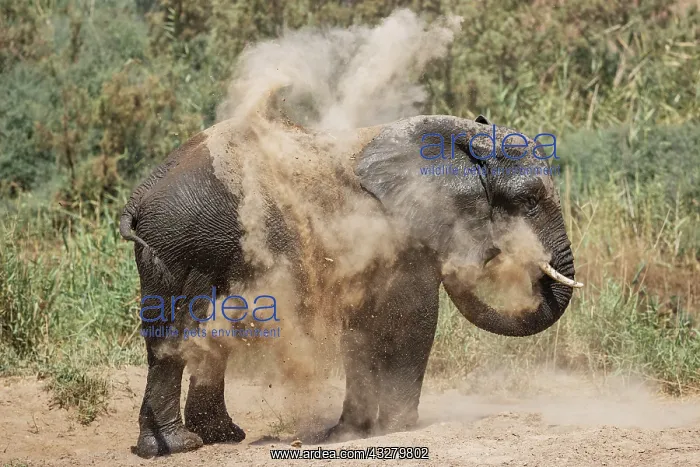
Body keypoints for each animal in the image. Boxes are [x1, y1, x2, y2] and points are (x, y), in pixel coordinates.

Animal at [119, 113, 582, 458]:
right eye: (528, 202)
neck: (462, 139)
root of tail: (139, 195)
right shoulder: (404, 232)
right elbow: (413, 315)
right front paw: (399, 428)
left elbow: (362, 325)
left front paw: (352, 432)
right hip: (186, 242)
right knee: (182, 333)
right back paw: (182, 445)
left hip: (174, 249)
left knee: (187, 334)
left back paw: (208, 439)